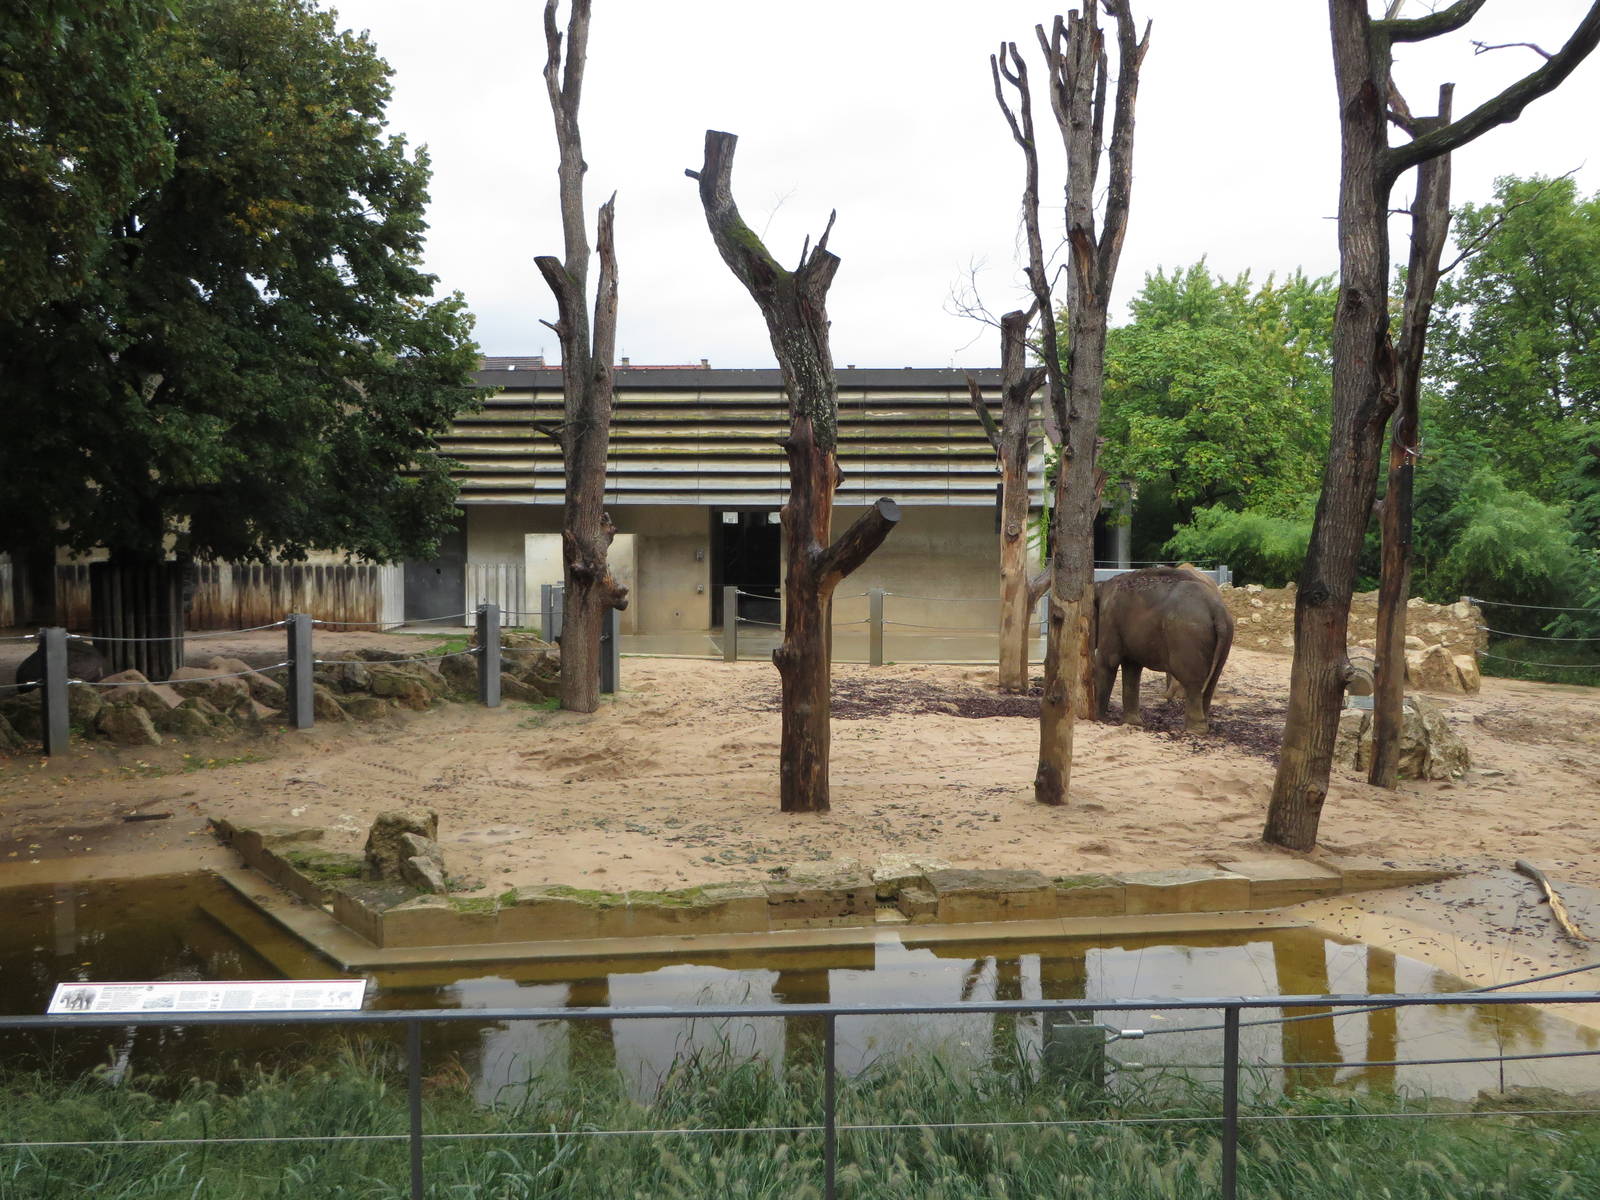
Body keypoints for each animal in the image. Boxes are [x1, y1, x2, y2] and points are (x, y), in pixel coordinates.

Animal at [1094, 566, 1234, 733]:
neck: (1100, 585)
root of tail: (1216, 609)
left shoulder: (1109, 618)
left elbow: (1108, 661)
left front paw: (1097, 718)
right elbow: (1132, 668)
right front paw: (1133, 723)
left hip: (1187, 635)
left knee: (1193, 682)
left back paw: (1194, 730)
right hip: (1225, 637)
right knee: (1211, 681)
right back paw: (1201, 726)